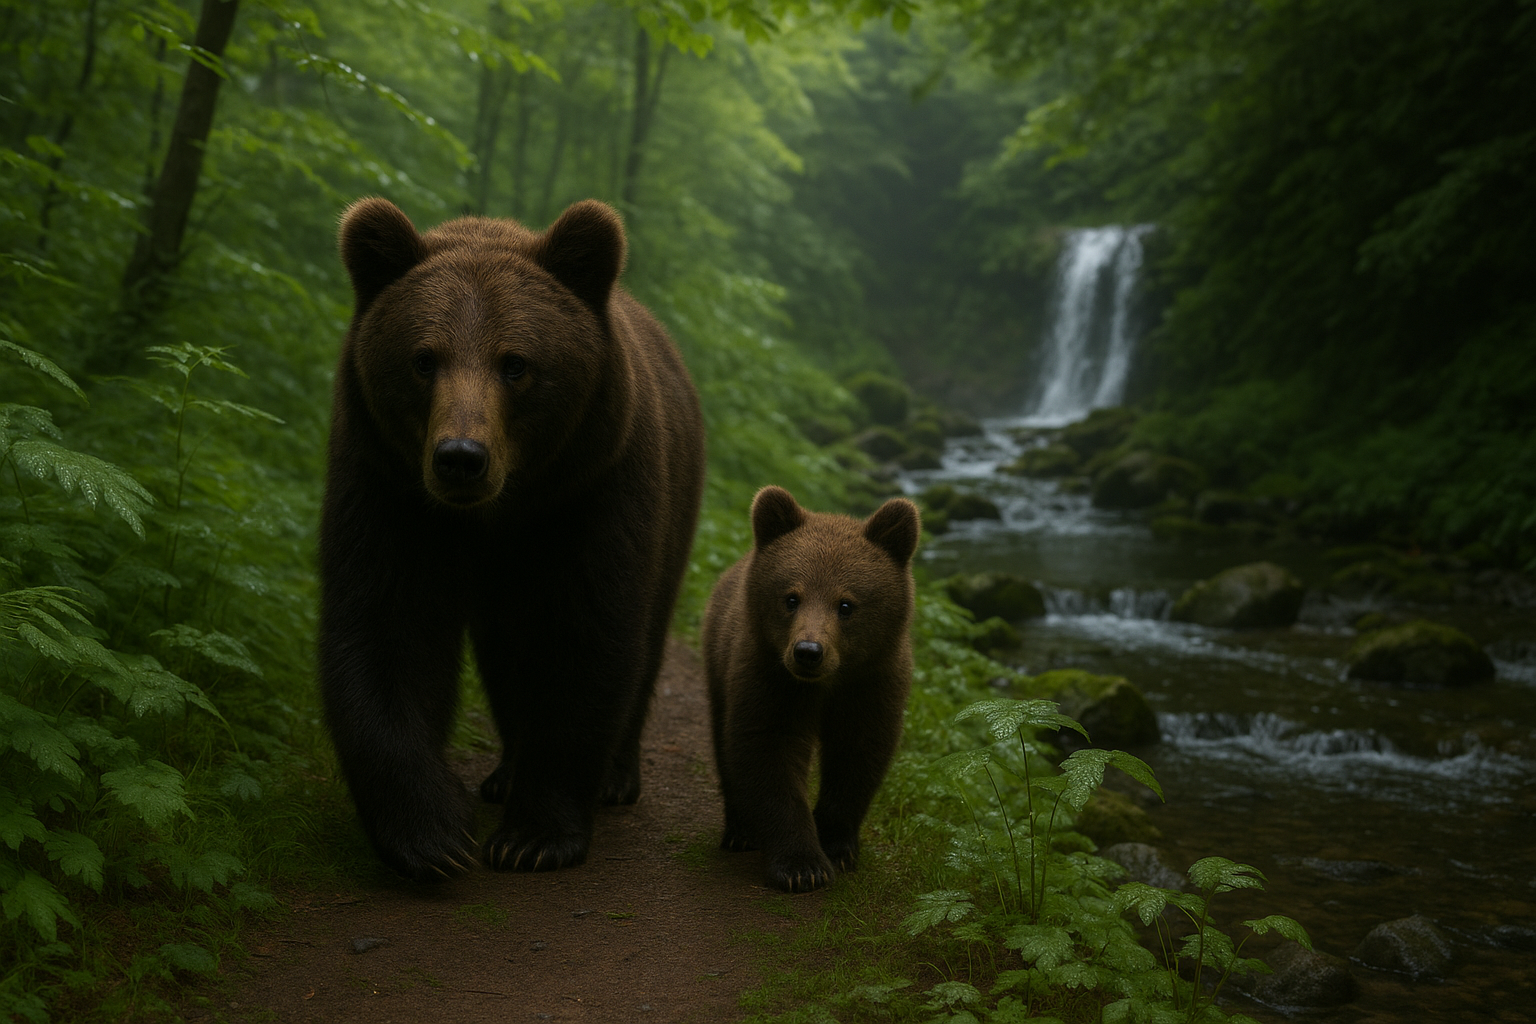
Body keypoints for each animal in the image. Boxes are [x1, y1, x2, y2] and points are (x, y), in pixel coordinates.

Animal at [319, 197, 705, 881]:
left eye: (516, 363)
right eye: (424, 358)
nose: (460, 457)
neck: (498, 514)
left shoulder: (591, 492)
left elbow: (588, 638)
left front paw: (535, 835)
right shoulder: (387, 488)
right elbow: (384, 626)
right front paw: (432, 836)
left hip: (673, 513)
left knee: (646, 636)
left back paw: (615, 776)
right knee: (504, 652)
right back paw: (504, 772)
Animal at [702, 486, 920, 892]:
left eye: (846, 604)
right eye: (791, 598)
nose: (808, 652)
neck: (825, 684)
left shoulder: (871, 683)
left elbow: (857, 755)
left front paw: (837, 846)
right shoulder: (771, 679)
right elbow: (769, 749)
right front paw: (802, 865)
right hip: (718, 659)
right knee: (724, 738)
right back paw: (740, 830)